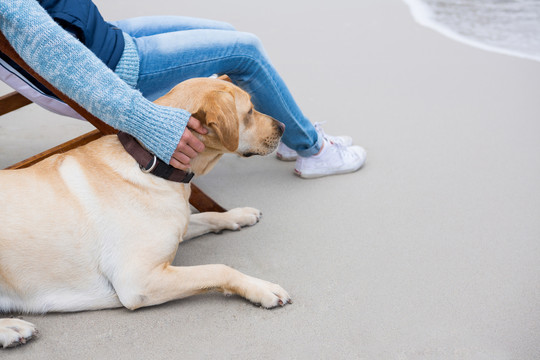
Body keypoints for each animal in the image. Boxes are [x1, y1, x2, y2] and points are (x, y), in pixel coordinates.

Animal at [0, 76, 292, 348]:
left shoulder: (177, 228)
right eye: (250, 111)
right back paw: (12, 328)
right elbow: (219, 269)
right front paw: (261, 288)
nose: (283, 127)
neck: (155, 167)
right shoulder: (137, 281)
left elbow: (206, 217)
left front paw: (237, 215)